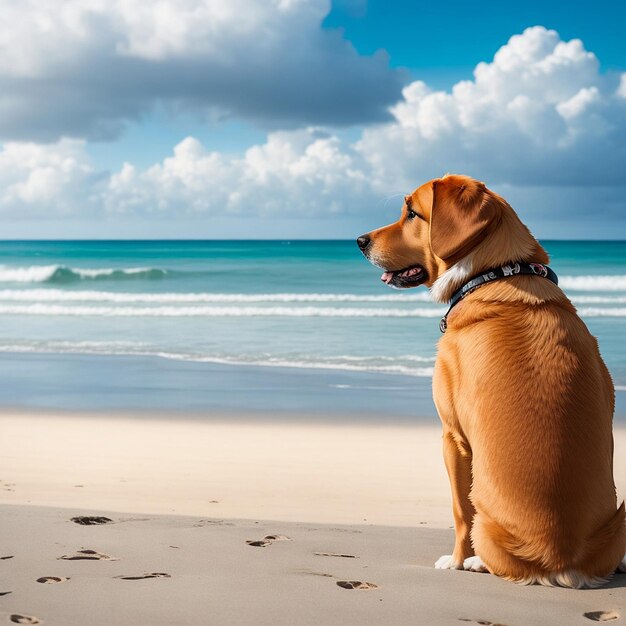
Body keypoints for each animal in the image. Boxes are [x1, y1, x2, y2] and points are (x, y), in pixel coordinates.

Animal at [356, 172, 624, 584]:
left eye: (412, 213)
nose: (360, 241)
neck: (492, 273)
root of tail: (561, 557)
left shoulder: (452, 436)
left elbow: (459, 512)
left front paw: (455, 560)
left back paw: (475, 561)